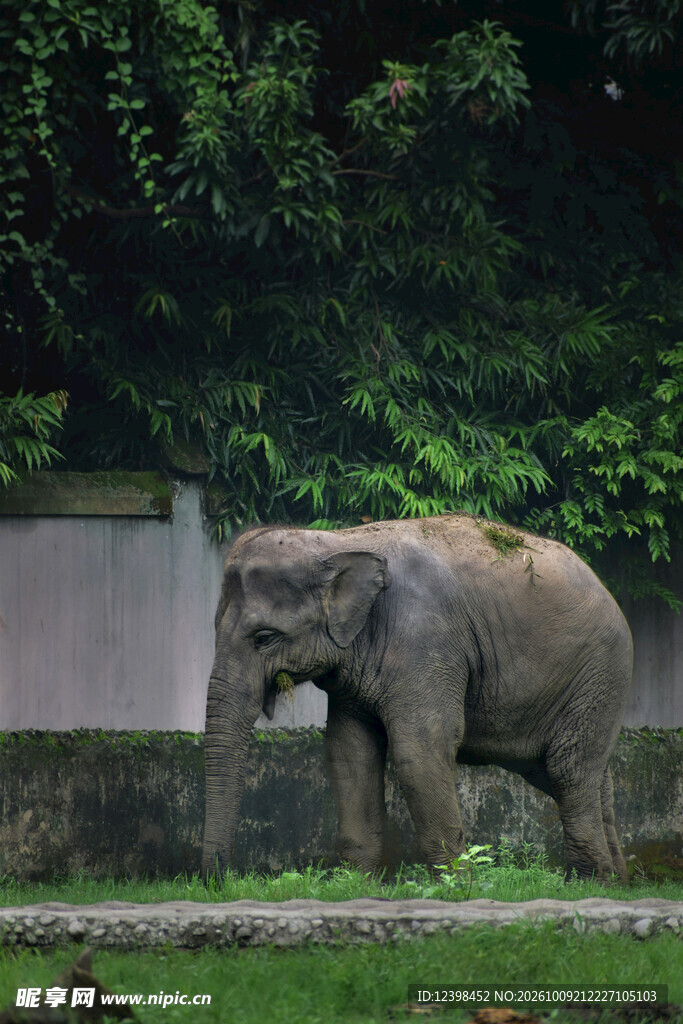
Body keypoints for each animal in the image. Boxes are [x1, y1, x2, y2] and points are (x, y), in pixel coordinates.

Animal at [202, 514, 632, 882]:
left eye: (264, 637)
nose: (222, 880)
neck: (340, 542)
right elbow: (349, 754)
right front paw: (356, 884)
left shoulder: (425, 641)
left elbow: (419, 749)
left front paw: (457, 886)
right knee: (581, 775)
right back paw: (615, 881)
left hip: (599, 672)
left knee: (567, 769)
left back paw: (589, 881)